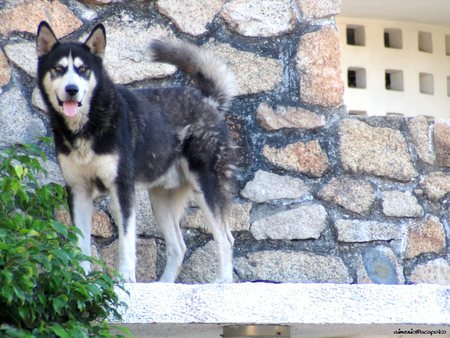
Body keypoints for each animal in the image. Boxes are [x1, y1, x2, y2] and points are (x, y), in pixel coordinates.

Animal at [37, 21, 237, 282]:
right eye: (59, 69)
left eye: (83, 70)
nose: (72, 89)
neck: (88, 125)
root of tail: (209, 102)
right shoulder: (78, 189)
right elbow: (80, 242)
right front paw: (80, 278)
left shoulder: (122, 187)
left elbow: (126, 240)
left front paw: (125, 279)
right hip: (160, 200)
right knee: (179, 246)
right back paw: (164, 285)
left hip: (206, 188)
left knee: (226, 239)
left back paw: (223, 282)